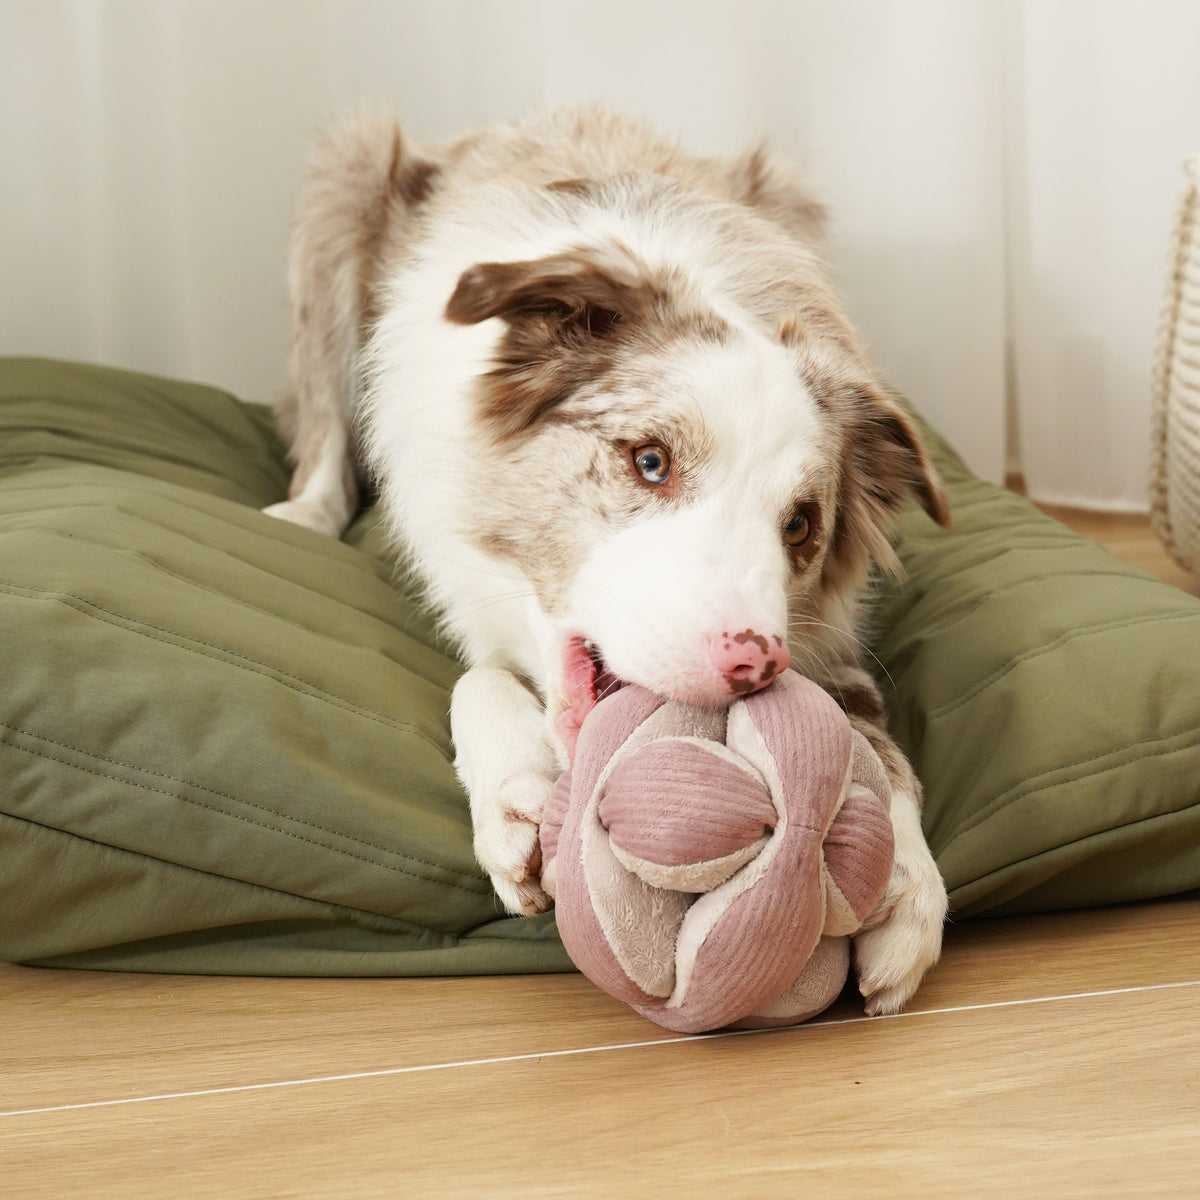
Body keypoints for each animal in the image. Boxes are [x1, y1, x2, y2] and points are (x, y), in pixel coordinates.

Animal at [267, 108, 950, 1017]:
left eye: (800, 526)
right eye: (650, 461)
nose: (754, 663)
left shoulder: (827, 638)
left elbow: (876, 744)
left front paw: (908, 886)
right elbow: (475, 676)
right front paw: (514, 799)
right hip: (346, 173)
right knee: (323, 440)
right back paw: (302, 515)